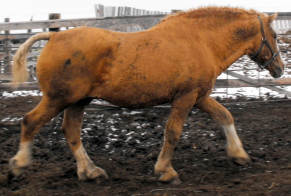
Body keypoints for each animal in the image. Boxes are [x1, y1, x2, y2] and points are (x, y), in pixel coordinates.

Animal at [8, 6, 286, 184]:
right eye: (273, 35)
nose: (280, 69)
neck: (201, 42)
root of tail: (52, 36)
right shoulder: (185, 98)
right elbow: (172, 133)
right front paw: (165, 171)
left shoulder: (199, 96)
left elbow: (225, 116)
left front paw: (239, 155)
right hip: (58, 99)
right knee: (30, 122)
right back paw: (19, 165)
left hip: (77, 101)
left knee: (71, 132)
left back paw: (90, 171)